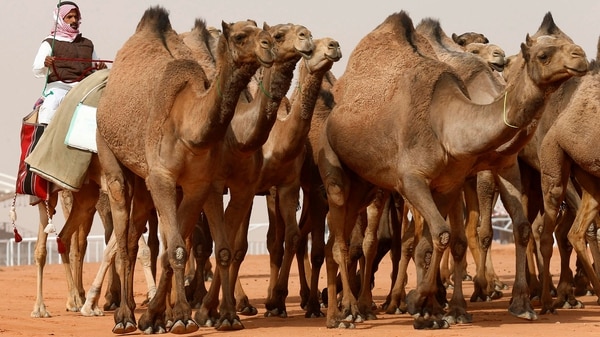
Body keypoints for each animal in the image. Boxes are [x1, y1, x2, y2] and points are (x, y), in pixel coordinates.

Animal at [96, 7, 276, 334]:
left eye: (261, 29)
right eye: (240, 36)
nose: (269, 45)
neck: (190, 127)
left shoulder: (195, 184)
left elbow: (176, 248)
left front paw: (168, 316)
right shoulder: (163, 178)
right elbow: (177, 247)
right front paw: (179, 316)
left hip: (144, 182)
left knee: (134, 235)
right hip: (109, 154)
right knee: (123, 232)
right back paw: (124, 317)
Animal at [191, 22, 314, 330]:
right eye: (279, 35)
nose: (306, 35)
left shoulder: (261, 187)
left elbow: (257, 243)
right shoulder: (229, 185)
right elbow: (232, 244)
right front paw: (216, 309)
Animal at [318, 10, 584, 328]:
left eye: (569, 43)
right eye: (544, 55)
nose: (581, 55)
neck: (447, 122)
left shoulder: (464, 177)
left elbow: (447, 239)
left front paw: (435, 310)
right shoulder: (413, 180)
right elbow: (446, 236)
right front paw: (425, 303)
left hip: (364, 183)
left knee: (343, 239)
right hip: (337, 169)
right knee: (343, 240)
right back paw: (348, 311)